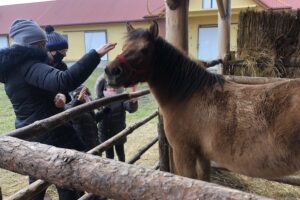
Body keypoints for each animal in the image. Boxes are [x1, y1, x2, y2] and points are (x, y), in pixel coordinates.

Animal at [106, 21, 300, 181]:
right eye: (124, 47)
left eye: (145, 49)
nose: (111, 72)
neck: (186, 95)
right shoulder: (202, 155)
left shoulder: (184, 152)